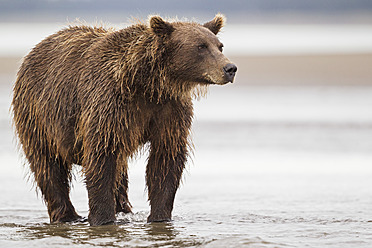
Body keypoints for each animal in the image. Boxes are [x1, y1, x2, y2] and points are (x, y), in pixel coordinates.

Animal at [12, 14, 238, 226]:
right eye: (201, 46)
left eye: (219, 45)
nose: (230, 68)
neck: (149, 84)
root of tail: (35, 50)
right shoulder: (110, 105)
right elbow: (102, 159)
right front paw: (102, 219)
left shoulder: (169, 111)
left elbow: (165, 160)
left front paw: (160, 217)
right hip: (38, 116)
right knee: (48, 167)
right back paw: (68, 216)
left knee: (120, 172)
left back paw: (123, 209)